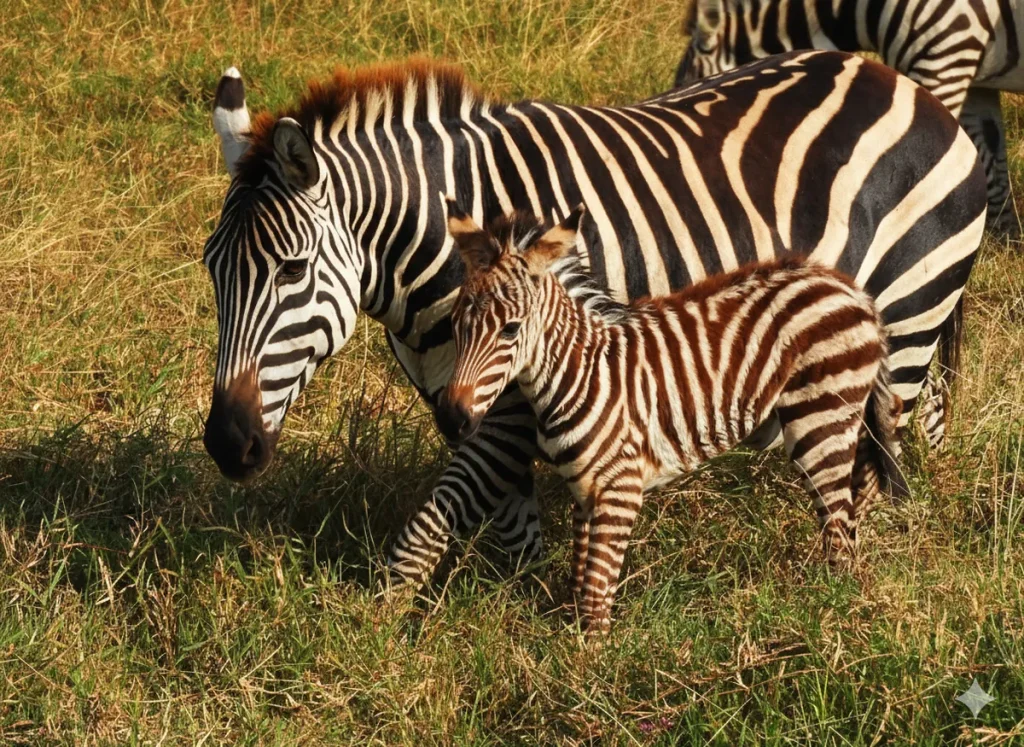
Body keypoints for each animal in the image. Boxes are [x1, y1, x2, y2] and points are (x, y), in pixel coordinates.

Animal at [437, 201, 909, 632]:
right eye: (455, 324)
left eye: (510, 330)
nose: (452, 421)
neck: (581, 372)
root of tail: (850, 289)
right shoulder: (584, 491)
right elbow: (581, 583)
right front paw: (572, 642)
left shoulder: (620, 487)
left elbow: (596, 593)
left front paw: (593, 661)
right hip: (843, 415)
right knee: (857, 495)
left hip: (820, 417)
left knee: (838, 526)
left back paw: (833, 605)